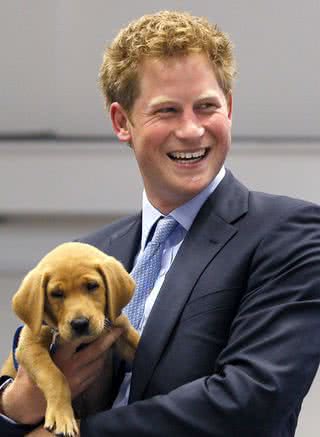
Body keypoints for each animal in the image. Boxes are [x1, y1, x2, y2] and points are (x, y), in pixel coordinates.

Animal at [0, 242, 139, 436]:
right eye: (57, 294)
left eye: (92, 286)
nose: (80, 323)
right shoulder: (29, 346)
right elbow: (55, 376)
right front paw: (61, 415)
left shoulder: (120, 330)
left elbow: (139, 343)